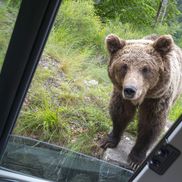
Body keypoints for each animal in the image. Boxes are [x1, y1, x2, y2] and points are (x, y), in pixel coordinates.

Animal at [101, 33, 182, 169]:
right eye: (124, 66)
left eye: (145, 68)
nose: (130, 90)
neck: (143, 96)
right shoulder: (121, 95)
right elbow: (120, 113)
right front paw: (109, 141)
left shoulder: (156, 99)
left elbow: (150, 124)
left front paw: (135, 159)